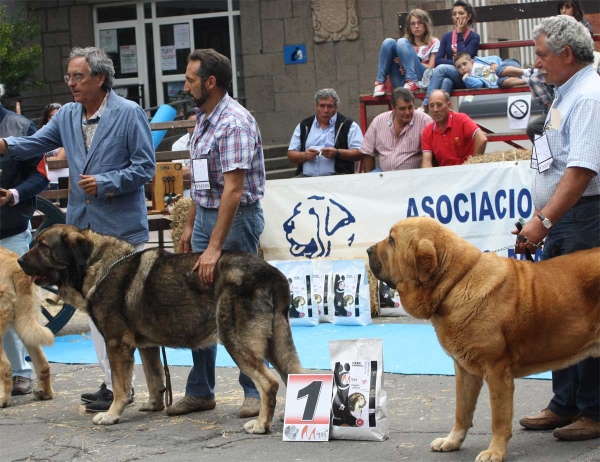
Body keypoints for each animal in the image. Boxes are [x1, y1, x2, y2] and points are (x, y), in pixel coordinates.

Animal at [0, 247, 54, 406]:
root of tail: (16, 266)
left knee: (6, 368)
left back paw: (2, 399)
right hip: (26, 323)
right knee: (43, 363)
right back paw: (44, 392)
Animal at [19, 224, 304, 434]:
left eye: (43, 247)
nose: (20, 260)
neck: (98, 265)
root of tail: (270, 273)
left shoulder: (116, 344)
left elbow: (120, 385)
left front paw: (112, 414)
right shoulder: (147, 347)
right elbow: (153, 377)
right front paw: (154, 405)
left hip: (236, 340)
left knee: (268, 383)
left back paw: (261, 424)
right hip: (276, 344)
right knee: (296, 374)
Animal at [368, 217, 596, 462]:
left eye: (392, 240)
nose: (368, 250)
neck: (456, 281)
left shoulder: (497, 372)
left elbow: (499, 418)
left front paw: (494, 451)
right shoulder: (464, 369)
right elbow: (462, 411)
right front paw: (451, 441)